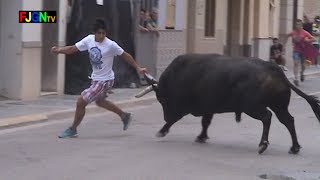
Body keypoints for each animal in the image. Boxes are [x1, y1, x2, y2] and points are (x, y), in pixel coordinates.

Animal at [136, 53, 320, 155]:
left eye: (162, 99)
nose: (164, 116)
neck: (178, 75)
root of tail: (274, 68)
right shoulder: (207, 107)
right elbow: (205, 122)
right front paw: (201, 137)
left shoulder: (186, 107)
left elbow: (175, 119)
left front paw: (162, 131)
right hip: (279, 106)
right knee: (288, 120)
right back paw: (294, 148)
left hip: (253, 107)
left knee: (267, 117)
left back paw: (263, 145)